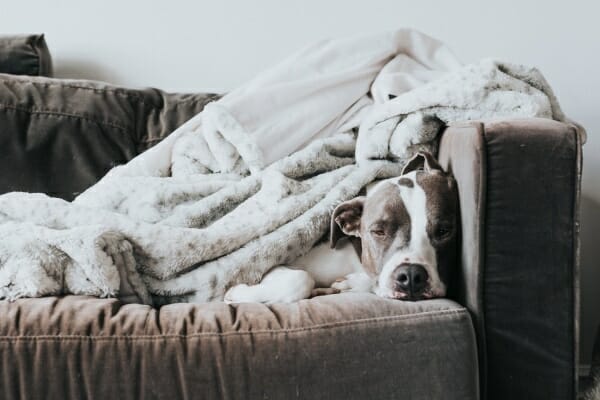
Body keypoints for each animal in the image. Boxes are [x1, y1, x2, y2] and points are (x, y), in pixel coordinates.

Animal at [225, 152, 460, 304]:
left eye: (444, 231)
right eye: (378, 231)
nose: (411, 276)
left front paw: (351, 284)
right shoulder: (273, 266)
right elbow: (301, 279)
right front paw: (236, 293)